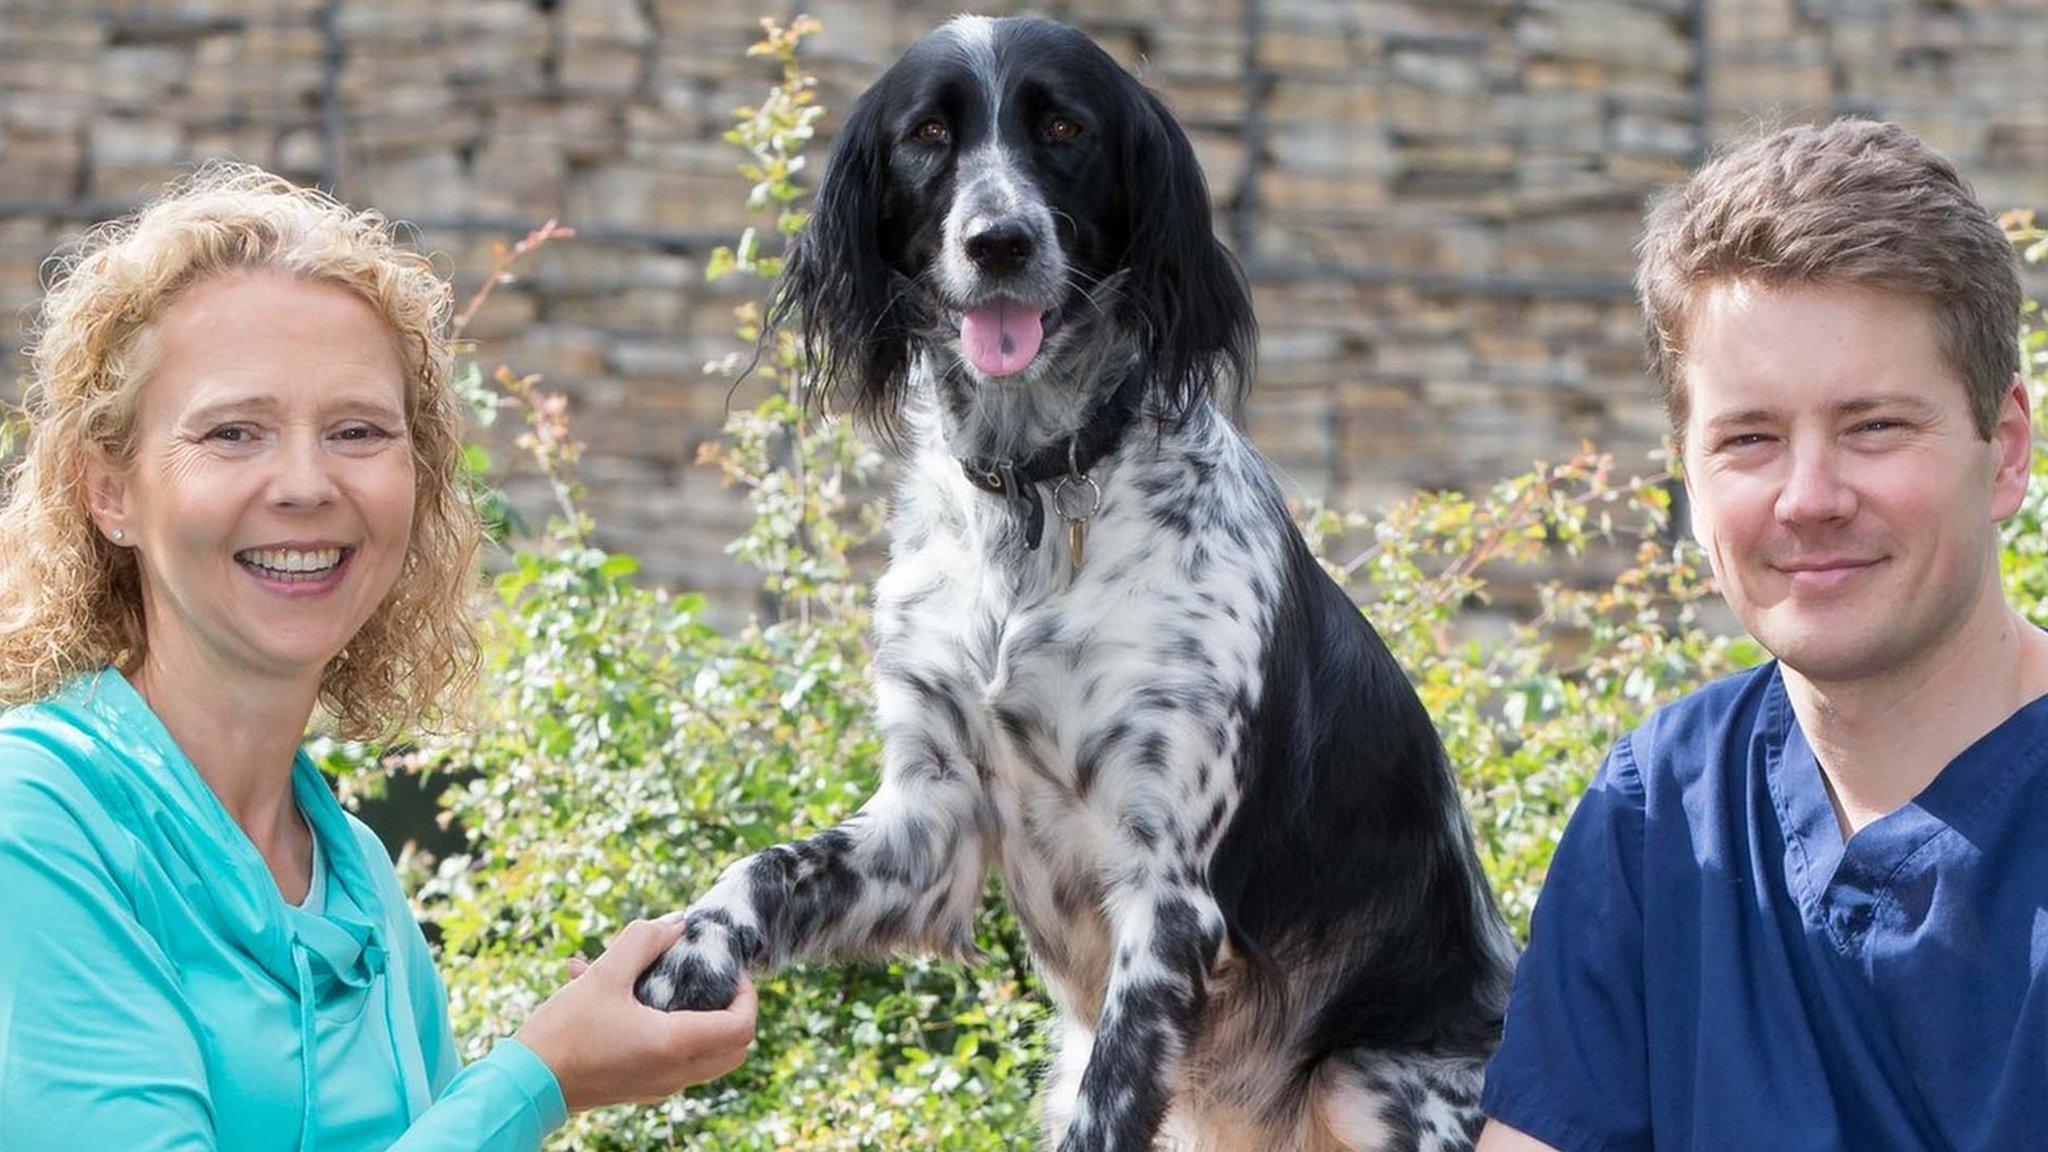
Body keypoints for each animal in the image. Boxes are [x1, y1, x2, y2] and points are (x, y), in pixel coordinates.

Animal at [638, 17, 1523, 1147]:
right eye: (928, 134)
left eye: (1063, 127)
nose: (999, 242)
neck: (1034, 503)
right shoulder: (930, 815)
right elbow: (764, 864)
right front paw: (693, 954)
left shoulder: (1167, 890)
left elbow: (1108, 1107)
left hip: (1366, 1081)